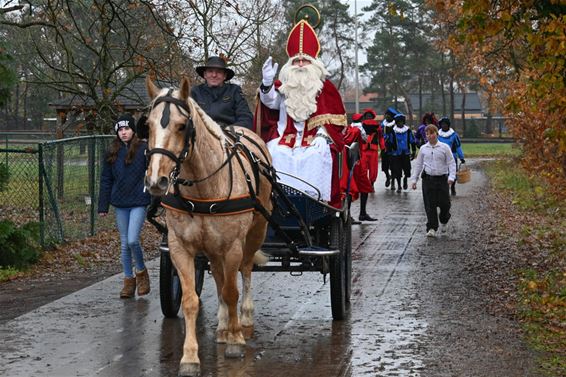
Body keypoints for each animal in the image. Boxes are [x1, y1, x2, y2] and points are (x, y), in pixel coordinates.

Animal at [143, 75, 274, 374]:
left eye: (182, 126)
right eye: (148, 125)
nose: (156, 181)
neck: (204, 188)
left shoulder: (233, 246)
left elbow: (232, 290)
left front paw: (236, 340)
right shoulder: (180, 247)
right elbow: (192, 299)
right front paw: (190, 357)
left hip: (255, 231)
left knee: (245, 271)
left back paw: (244, 320)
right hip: (213, 248)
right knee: (218, 276)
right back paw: (224, 325)